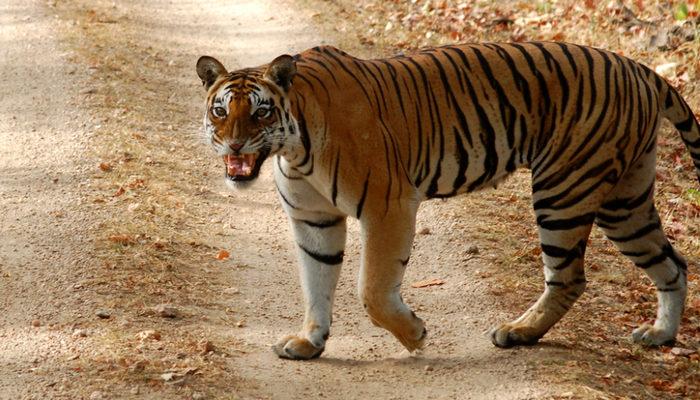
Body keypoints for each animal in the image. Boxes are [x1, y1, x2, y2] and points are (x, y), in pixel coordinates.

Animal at [196, 42, 700, 360]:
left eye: (261, 112)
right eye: (220, 111)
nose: (233, 145)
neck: (293, 149)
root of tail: (638, 68)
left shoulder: (388, 205)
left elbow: (372, 290)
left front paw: (415, 336)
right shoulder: (314, 219)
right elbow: (316, 283)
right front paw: (310, 343)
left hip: (564, 189)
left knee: (570, 277)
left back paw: (518, 332)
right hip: (624, 201)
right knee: (672, 264)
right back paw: (659, 334)